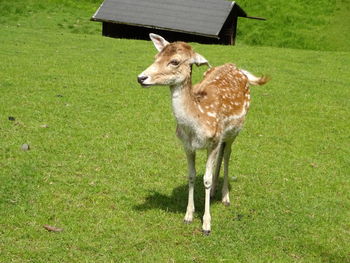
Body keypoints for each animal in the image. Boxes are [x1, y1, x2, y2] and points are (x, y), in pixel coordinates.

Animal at [137, 33, 268, 237]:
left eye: (174, 61)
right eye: (156, 57)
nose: (141, 78)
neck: (196, 123)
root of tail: (238, 68)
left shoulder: (213, 141)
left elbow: (205, 179)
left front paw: (206, 224)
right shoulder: (187, 145)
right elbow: (191, 176)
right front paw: (188, 215)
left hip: (235, 131)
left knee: (227, 154)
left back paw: (225, 196)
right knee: (221, 155)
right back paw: (214, 191)